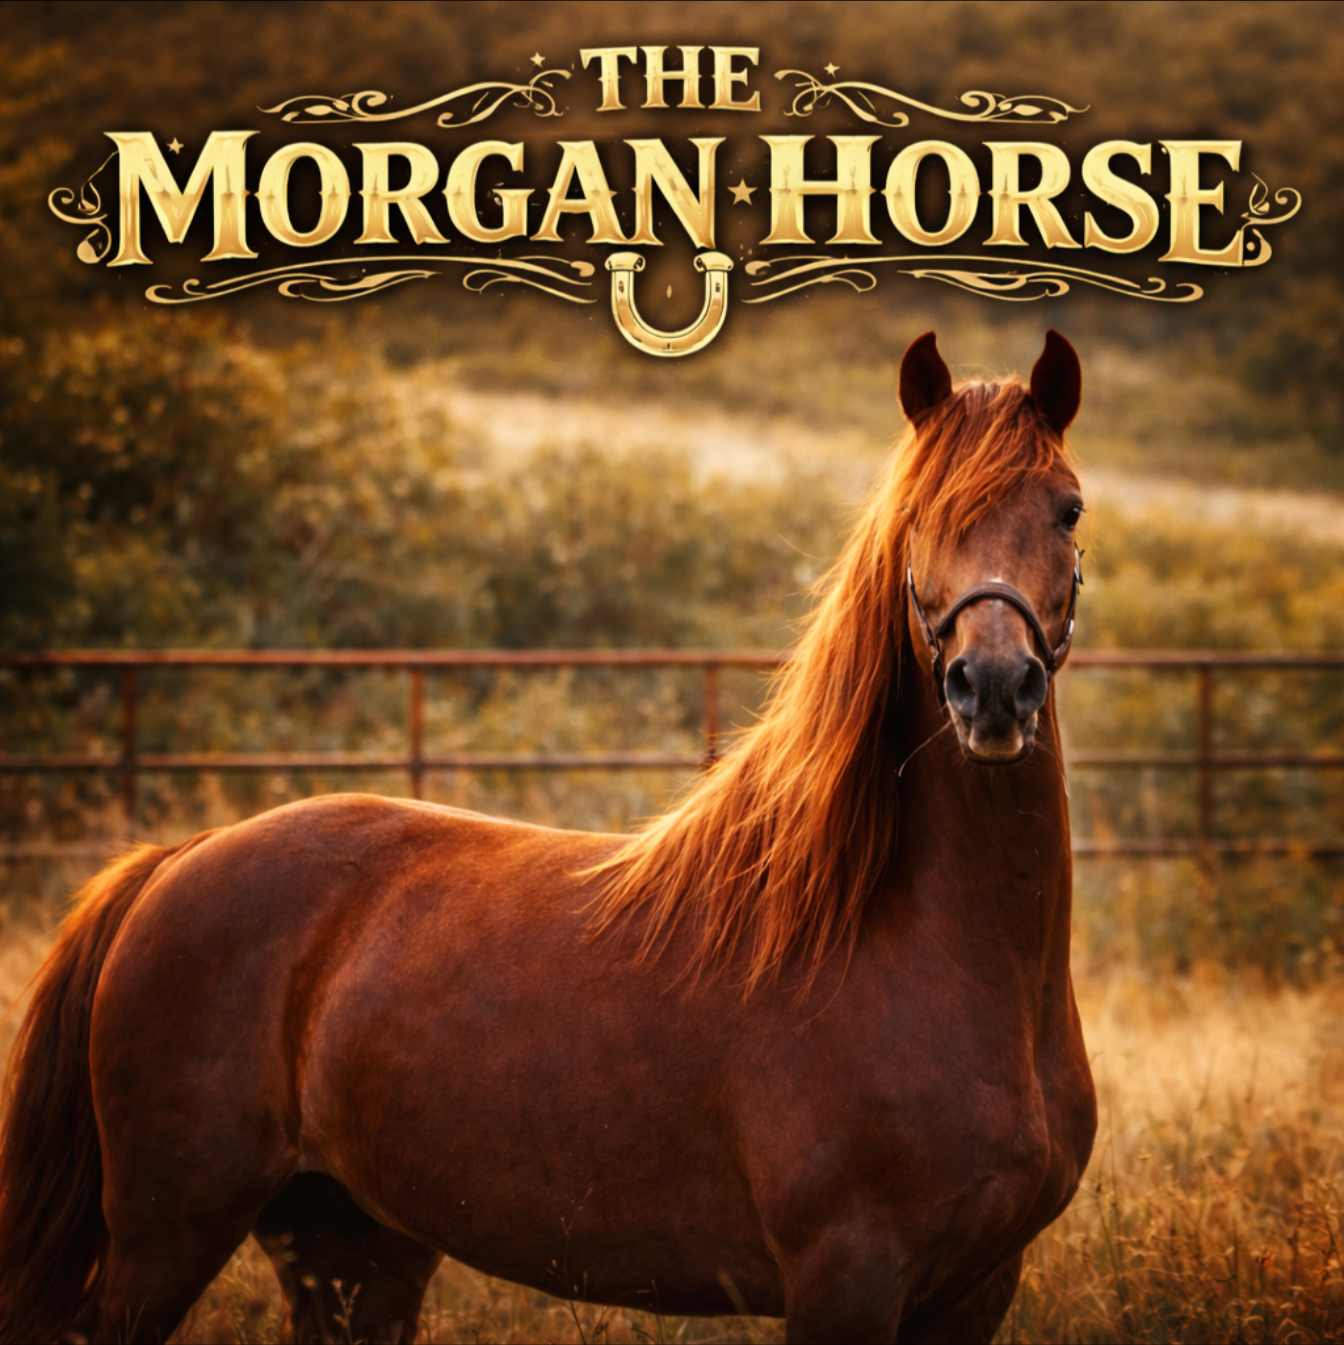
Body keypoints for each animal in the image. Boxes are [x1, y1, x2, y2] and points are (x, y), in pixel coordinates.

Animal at [0, 330, 1097, 1344]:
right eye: (920, 516)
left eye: (1069, 509)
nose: (992, 689)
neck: (911, 944)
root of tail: (181, 858)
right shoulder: (847, 1281)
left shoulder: (973, 1290)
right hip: (169, 1228)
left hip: (348, 1240)